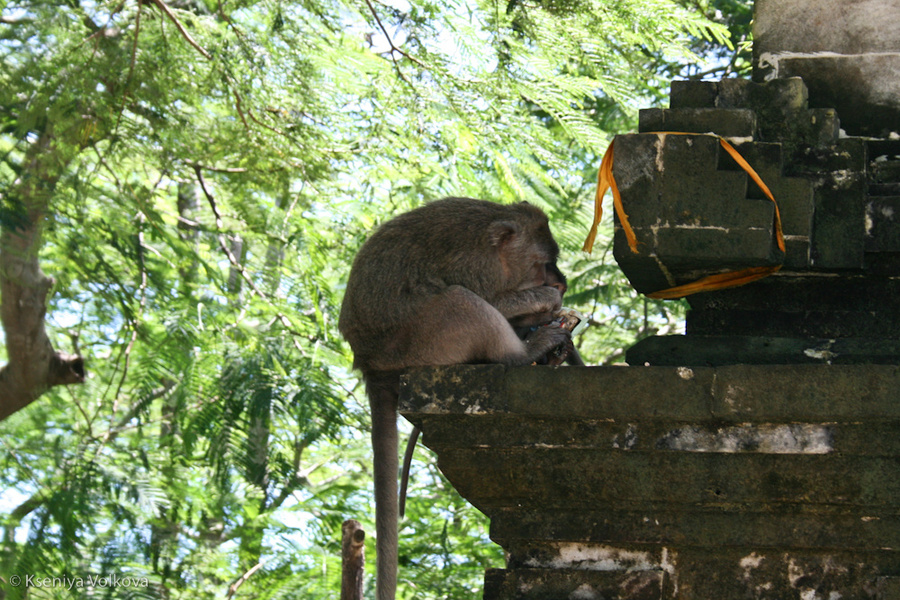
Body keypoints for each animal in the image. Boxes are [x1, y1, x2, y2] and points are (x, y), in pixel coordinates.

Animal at [338, 198, 568, 600]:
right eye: (541, 264)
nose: (560, 283)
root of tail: (369, 363)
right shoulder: (476, 266)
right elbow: (489, 299)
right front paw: (542, 301)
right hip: (422, 339)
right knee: (460, 301)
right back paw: (522, 353)